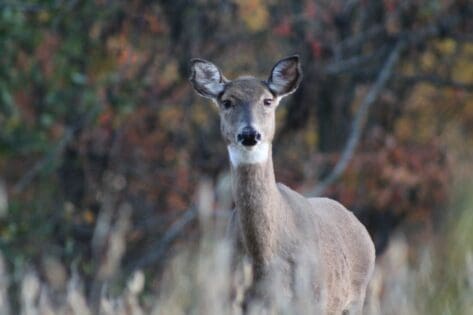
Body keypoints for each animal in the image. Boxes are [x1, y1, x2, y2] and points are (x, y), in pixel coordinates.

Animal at [189, 55, 376, 314]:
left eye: (267, 101)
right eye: (227, 102)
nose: (250, 134)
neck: (263, 260)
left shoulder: (310, 300)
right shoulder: (231, 299)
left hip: (354, 298)